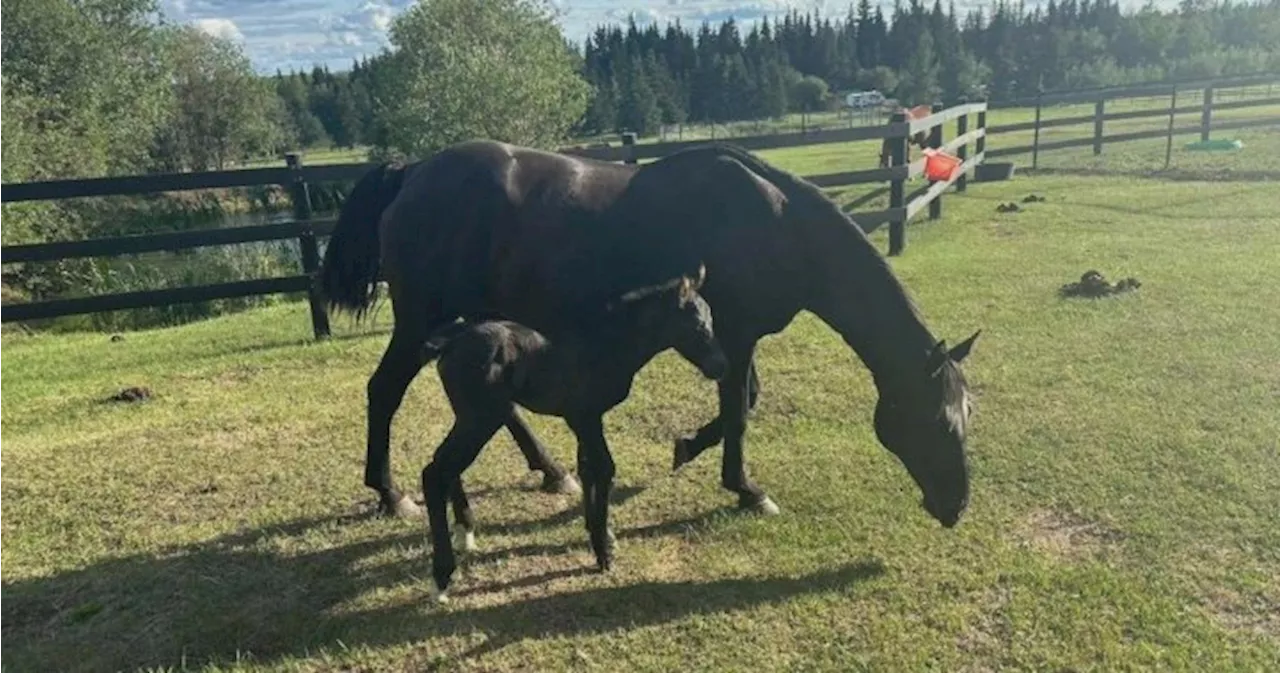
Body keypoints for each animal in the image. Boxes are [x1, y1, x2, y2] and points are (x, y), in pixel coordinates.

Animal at [320, 140, 977, 532]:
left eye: (966, 416)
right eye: (936, 421)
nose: (956, 506)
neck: (776, 220)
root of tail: (410, 172)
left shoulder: (732, 336)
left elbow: (744, 401)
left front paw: (687, 449)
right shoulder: (736, 333)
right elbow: (739, 407)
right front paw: (744, 488)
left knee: (498, 403)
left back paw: (551, 471)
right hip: (419, 322)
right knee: (384, 391)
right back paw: (391, 494)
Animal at [414, 271, 727, 603]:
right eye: (698, 326)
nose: (721, 366)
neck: (607, 342)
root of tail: (449, 343)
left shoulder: (583, 420)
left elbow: (586, 467)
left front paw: (598, 535)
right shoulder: (585, 416)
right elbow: (604, 468)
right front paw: (603, 553)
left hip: (469, 417)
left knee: (446, 467)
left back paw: (465, 533)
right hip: (481, 420)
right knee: (436, 472)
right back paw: (442, 578)